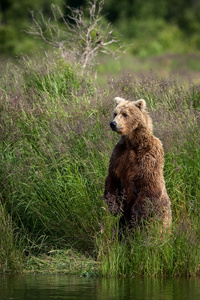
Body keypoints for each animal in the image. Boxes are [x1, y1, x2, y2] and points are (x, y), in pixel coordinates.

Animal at [104, 97, 172, 231]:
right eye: (115, 113)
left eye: (125, 114)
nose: (113, 124)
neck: (133, 143)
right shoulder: (118, 156)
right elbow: (112, 179)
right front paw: (115, 208)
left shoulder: (148, 158)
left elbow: (148, 186)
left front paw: (135, 216)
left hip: (160, 214)